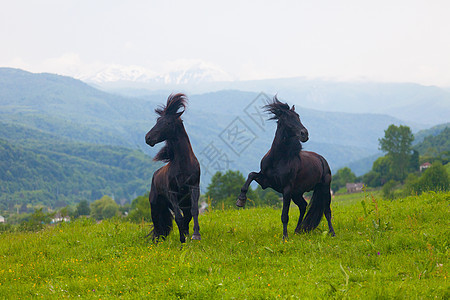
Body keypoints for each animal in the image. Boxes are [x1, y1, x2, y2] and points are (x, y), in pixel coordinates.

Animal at [145, 92, 201, 243]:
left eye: (168, 122)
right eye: (158, 120)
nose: (148, 138)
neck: (184, 165)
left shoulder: (194, 187)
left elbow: (194, 211)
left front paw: (195, 235)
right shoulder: (172, 193)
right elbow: (178, 217)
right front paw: (182, 240)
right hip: (155, 205)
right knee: (157, 225)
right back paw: (157, 242)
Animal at [237, 97, 336, 240]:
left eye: (298, 117)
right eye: (287, 118)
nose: (304, 134)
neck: (278, 159)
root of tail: (322, 160)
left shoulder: (287, 189)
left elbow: (285, 215)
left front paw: (285, 238)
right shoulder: (266, 181)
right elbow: (251, 175)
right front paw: (241, 200)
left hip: (324, 188)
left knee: (327, 211)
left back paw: (332, 233)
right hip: (297, 193)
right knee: (303, 206)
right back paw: (297, 230)